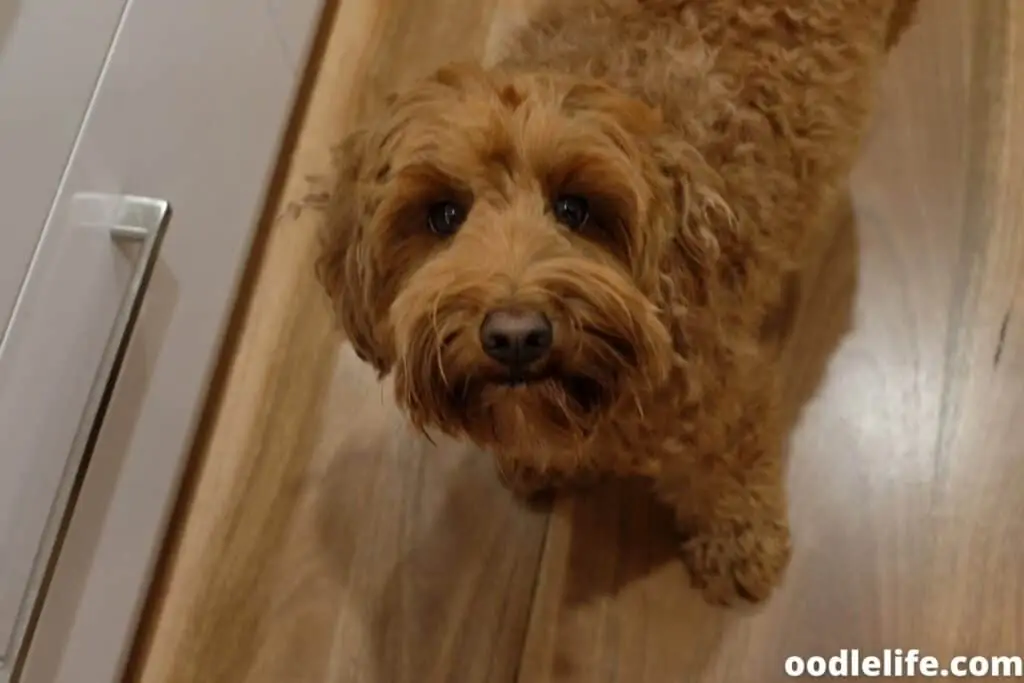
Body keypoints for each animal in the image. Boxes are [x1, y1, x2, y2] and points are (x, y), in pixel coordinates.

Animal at [317, 0, 921, 610]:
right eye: (444, 215)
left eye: (575, 208)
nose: (515, 336)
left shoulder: (727, 402)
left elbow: (727, 476)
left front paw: (738, 547)